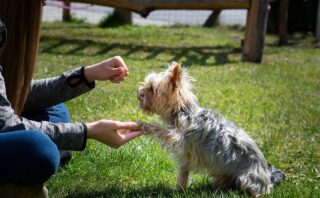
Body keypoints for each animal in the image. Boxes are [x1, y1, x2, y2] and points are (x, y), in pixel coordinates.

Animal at [136, 62, 286, 196]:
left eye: (152, 88)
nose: (138, 92)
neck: (183, 111)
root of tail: (269, 177)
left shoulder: (179, 138)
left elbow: (161, 130)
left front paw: (143, 124)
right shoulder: (186, 155)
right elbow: (183, 173)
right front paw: (180, 189)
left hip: (248, 178)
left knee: (254, 191)